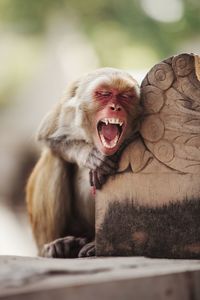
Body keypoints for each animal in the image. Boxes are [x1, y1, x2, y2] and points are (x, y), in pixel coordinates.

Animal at [26, 68, 141, 258]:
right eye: (104, 94)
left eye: (125, 96)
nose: (115, 107)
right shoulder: (68, 101)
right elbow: (47, 137)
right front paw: (90, 156)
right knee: (55, 158)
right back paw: (54, 245)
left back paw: (94, 244)